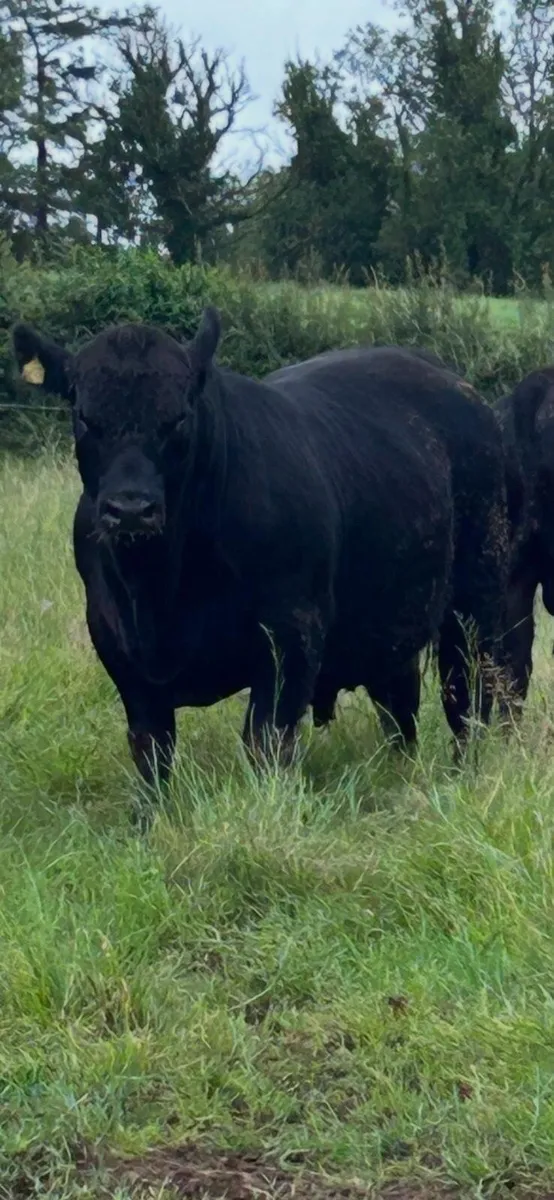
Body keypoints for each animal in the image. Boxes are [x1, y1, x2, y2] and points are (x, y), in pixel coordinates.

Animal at [13, 311, 509, 809]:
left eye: (178, 418)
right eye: (84, 416)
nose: (130, 509)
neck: (160, 589)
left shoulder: (292, 634)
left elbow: (267, 741)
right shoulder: (116, 643)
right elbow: (151, 750)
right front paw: (149, 818)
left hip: (476, 601)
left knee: (469, 695)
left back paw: (466, 771)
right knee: (400, 706)